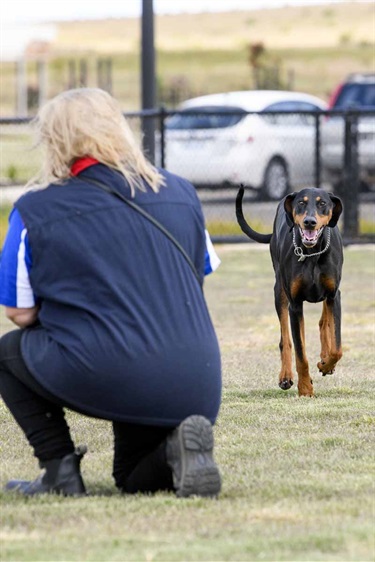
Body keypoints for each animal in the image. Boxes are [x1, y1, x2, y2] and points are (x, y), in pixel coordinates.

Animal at [236, 186, 346, 396]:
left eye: (322, 203)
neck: (311, 254)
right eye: (301, 203)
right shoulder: (295, 304)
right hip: (279, 291)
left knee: (324, 321)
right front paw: (305, 389)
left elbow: (337, 348)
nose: (309, 222)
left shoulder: (333, 295)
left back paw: (324, 358)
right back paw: (286, 376)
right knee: (285, 339)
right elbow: (300, 352)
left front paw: (326, 364)